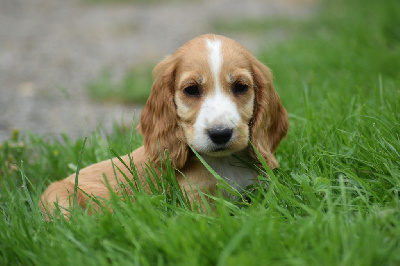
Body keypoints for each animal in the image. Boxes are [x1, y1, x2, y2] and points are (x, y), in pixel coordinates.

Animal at [39, 34, 288, 219]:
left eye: (240, 87)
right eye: (191, 90)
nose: (220, 134)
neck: (223, 163)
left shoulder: (259, 189)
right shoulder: (194, 199)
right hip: (58, 198)